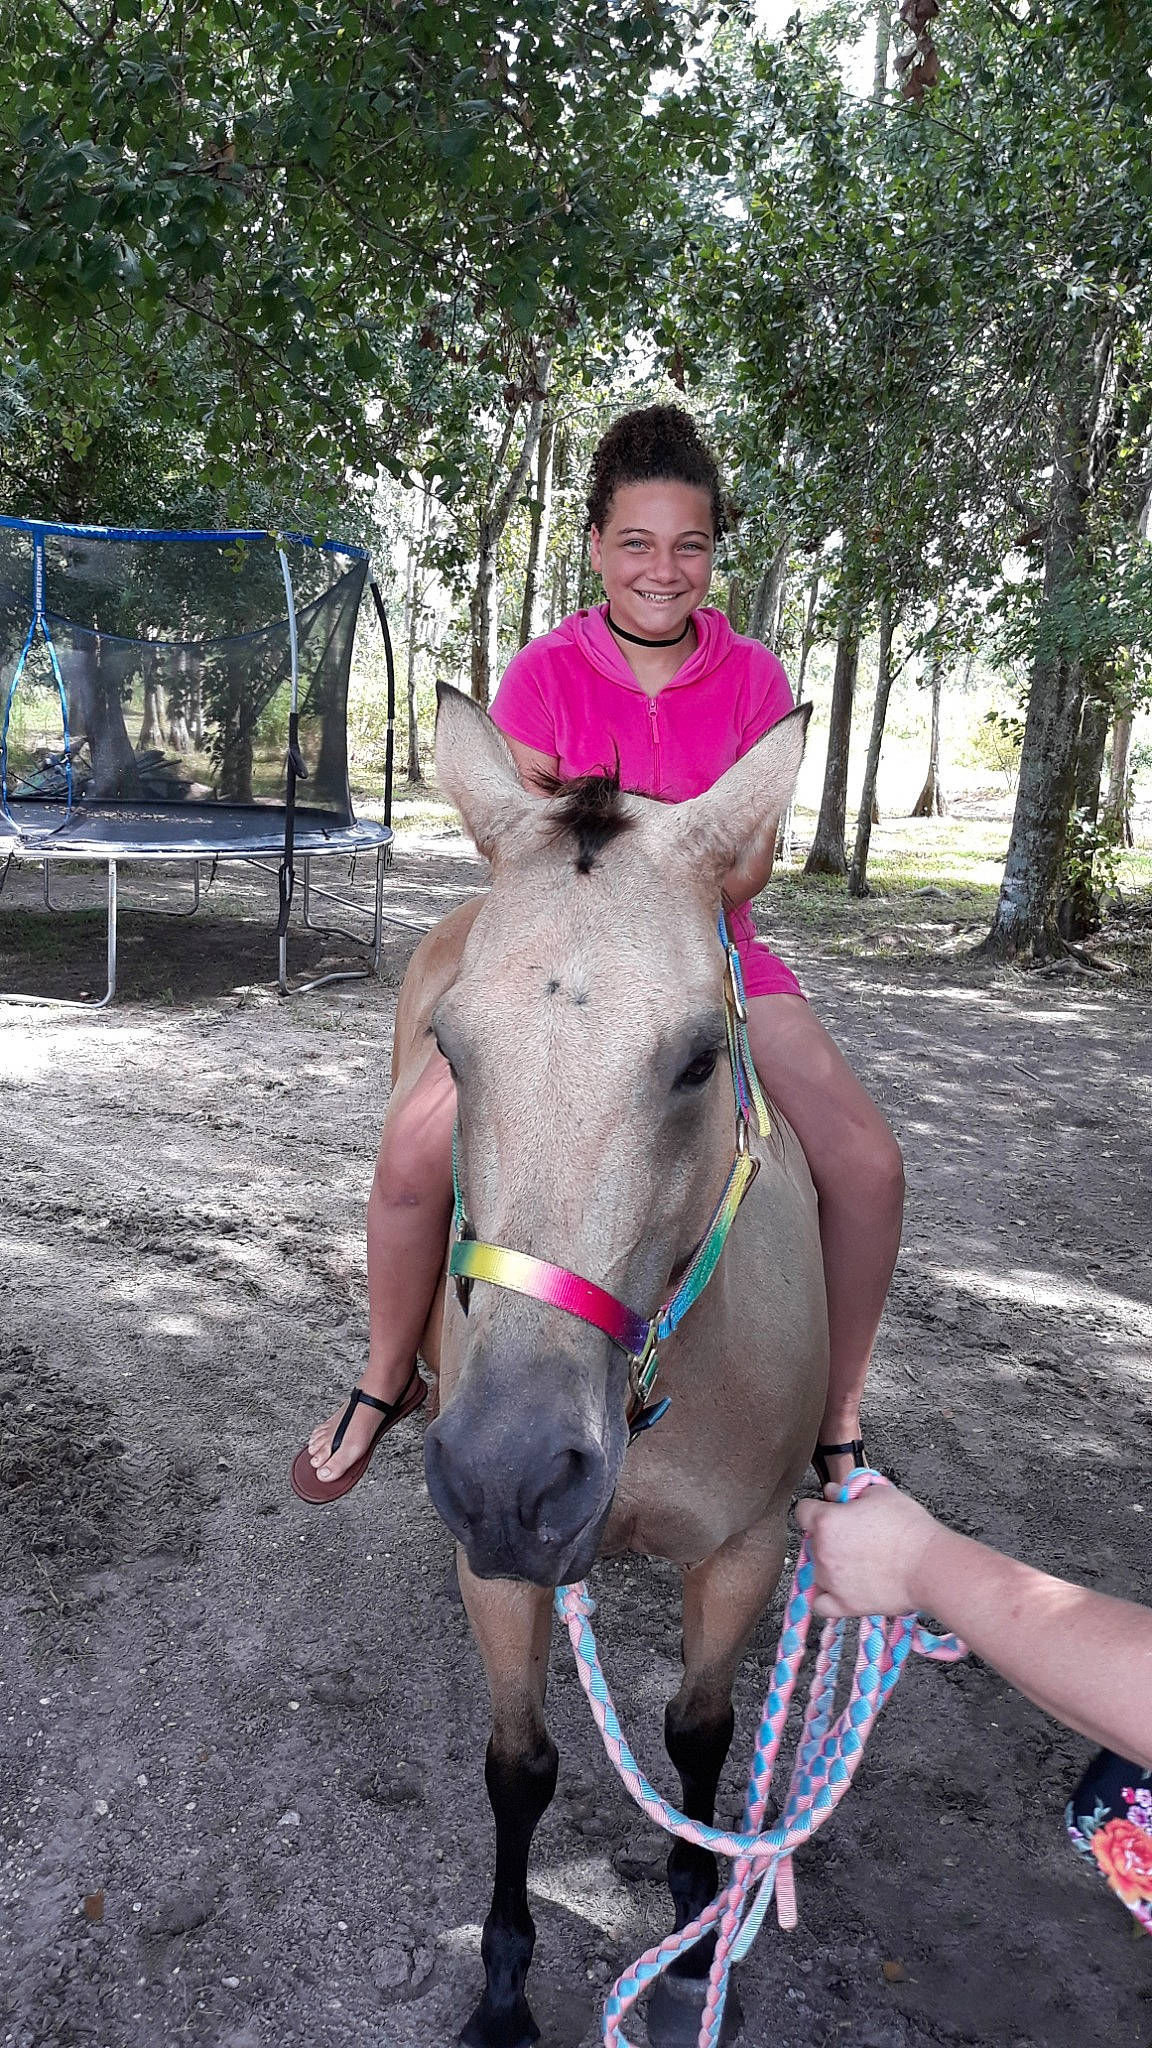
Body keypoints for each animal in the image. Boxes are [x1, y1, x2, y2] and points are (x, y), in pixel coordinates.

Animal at [395, 683, 828, 2048]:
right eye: (453, 1049)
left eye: (697, 1057)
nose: (511, 1470)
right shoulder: (496, 1568)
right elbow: (519, 1763)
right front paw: (502, 1988)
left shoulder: (744, 1546)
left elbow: (700, 1732)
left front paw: (693, 1943)